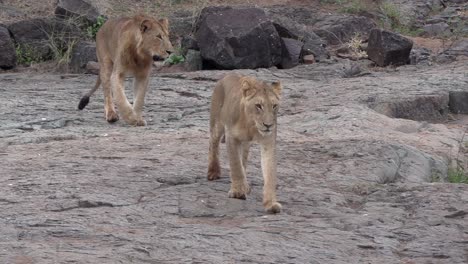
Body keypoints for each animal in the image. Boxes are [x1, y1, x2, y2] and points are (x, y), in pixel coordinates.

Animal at [207, 73, 282, 213]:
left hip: (245, 143)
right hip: (217, 124)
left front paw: (271, 204)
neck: (251, 124)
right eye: (258, 105)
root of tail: (227, 75)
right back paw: (213, 172)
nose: (268, 125)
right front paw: (238, 192)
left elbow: (269, 173)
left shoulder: (268, 143)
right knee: (213, 144)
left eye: (274, 106)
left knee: (244, 160)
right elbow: (236, 166)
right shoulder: (231, 137)